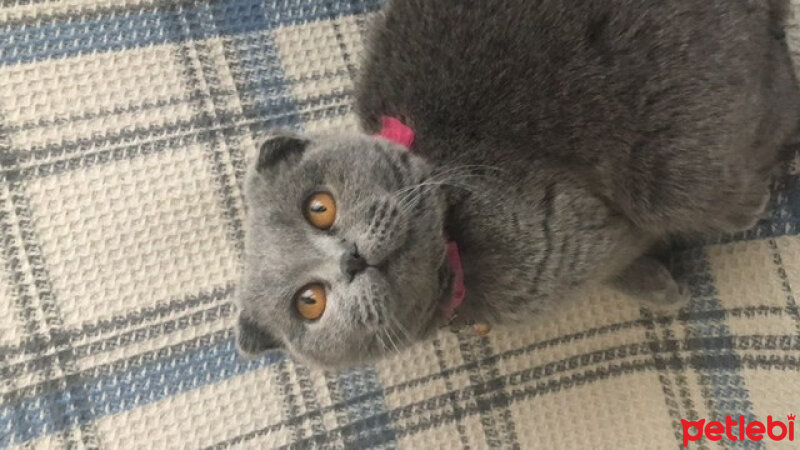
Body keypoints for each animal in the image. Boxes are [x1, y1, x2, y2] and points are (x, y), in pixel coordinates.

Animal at [234, 0, 800, 368]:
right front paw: (664, 288)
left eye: (319, 207)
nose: (351, 259)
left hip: (682, 169)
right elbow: (622, 266)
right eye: (310, 302)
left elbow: (620, 254)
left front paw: (666, 288)